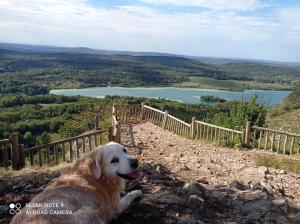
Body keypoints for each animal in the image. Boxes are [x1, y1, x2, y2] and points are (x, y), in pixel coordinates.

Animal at [10, 143, 142, 223]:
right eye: (114, 160)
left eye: (124, 150)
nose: (136, 162)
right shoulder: (116, 207)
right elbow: (128, 196)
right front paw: (136, 191)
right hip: (88, 211)